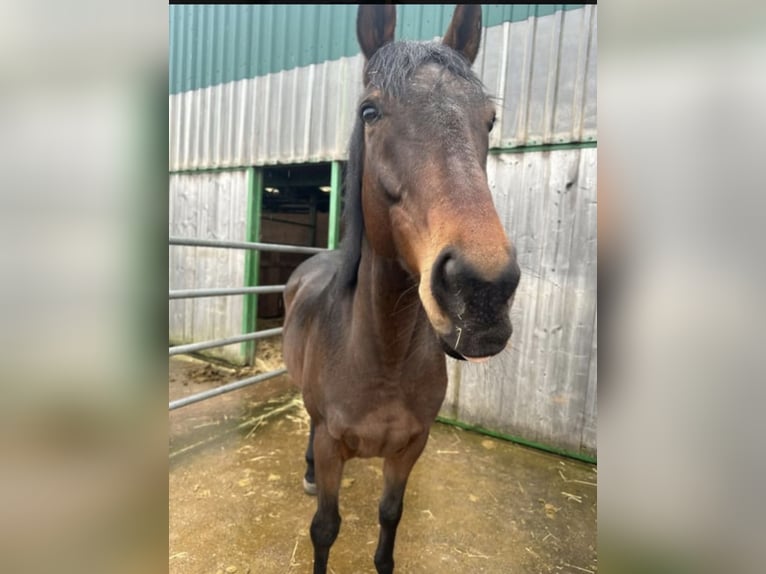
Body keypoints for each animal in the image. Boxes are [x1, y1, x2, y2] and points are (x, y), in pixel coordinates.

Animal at [282, 5, 520, 573]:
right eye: (370, 111)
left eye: (489, 120)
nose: (482, 292)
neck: (381, 356)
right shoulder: (333, 446)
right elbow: (325, 528)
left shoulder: (410, 447)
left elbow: (390, 517)